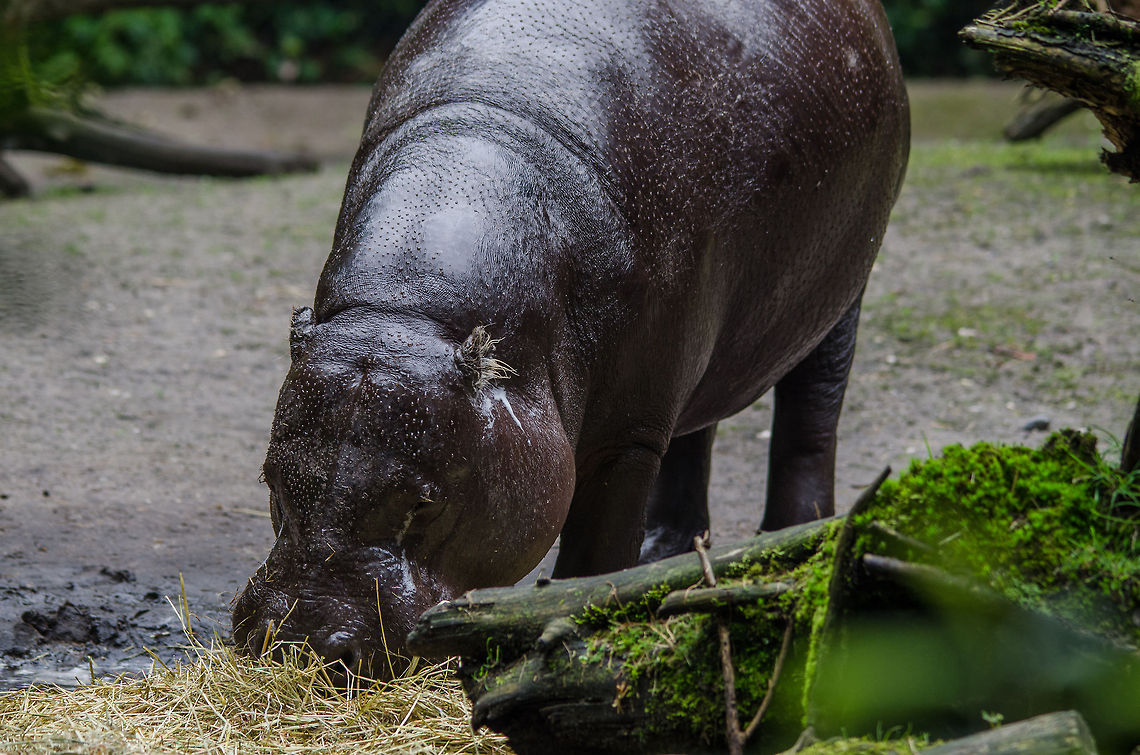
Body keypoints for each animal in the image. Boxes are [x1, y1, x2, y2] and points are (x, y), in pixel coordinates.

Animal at [232, 0, 909, 678]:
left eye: (423, 502)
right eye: (270, 479)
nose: (303, 645)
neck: (405, 317)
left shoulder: (626, 438)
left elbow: (596, 548)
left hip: (842, 292)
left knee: (810, 416)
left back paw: (792, 535)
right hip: (698, 355)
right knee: (695, 431)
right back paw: (665, 556)